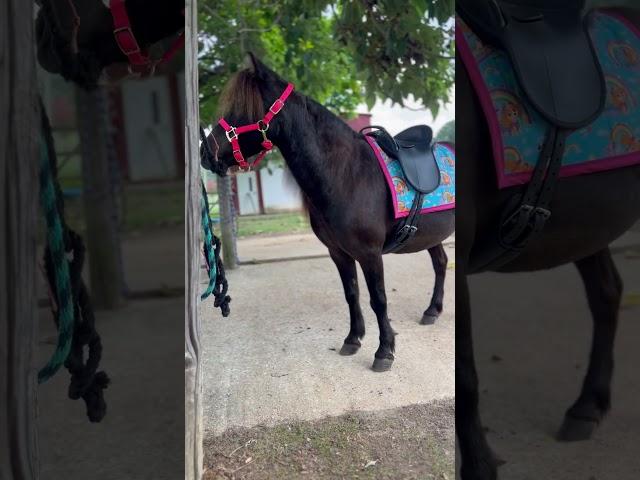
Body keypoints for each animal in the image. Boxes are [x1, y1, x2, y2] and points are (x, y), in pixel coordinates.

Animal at [201, 55, 456, 372]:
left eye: (242, 109)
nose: (205, 152)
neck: (347, 175)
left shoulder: (370, 253)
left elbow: (378, 299)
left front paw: (384, 351)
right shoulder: (338, 252)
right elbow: (351, 294)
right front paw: (353, 339)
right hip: (431, 235)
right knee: (441, 263)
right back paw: (432, 310)